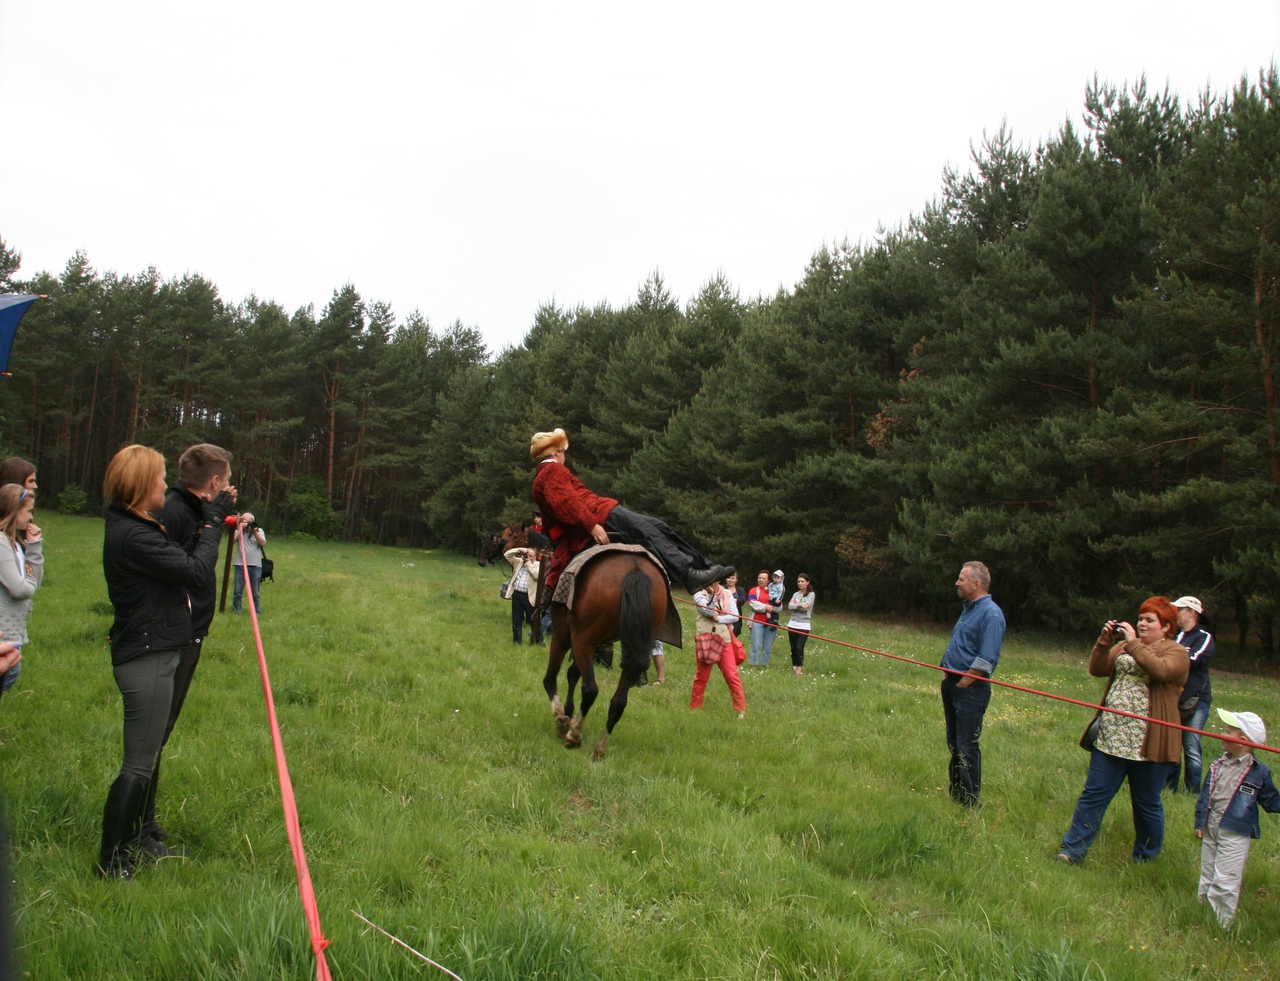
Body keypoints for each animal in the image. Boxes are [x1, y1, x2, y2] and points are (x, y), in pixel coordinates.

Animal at [542, 548, 665, 763]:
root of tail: (635, 569)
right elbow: (573, 674)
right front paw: (568, 711)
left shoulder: (566, 637)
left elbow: (552, 679)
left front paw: (562, 719)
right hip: (632, 647)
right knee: (618, 702)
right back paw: (599, 748)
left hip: (580, 639)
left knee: (589, 689)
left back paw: (574, 735)